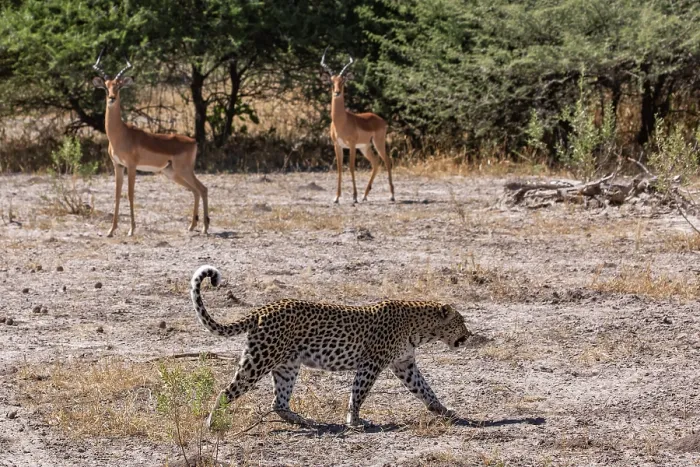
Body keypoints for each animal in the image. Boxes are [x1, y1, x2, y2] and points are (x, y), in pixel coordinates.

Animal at [190, 265, 473, 427]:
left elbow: (424, 389)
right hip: (258, 360)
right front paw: (354, 420)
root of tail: (262, 309)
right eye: (460, 321)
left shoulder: (404, 364)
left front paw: (443, 410)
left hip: (287, 366)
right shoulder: (372, 364)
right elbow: (358, 393)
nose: (469, 335)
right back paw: (212, 423)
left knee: (278, 403)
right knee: (226, 391)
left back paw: (301, 419)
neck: (420, 329)